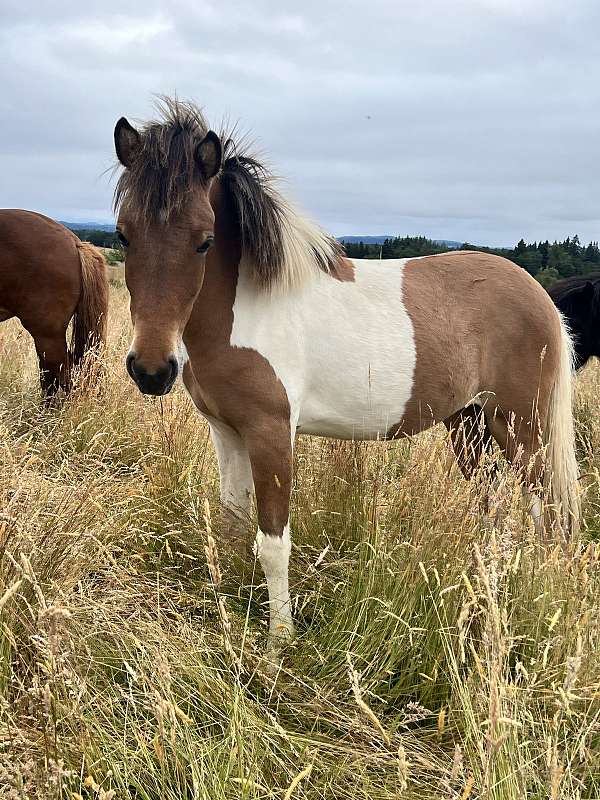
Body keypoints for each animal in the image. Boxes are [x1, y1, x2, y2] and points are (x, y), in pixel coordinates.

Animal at [113, 100, 580, 660]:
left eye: (204, 241)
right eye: (123, 234)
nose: (152, 369)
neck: (248, 307)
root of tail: (541, 297)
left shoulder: (272, 432)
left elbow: (272, 542)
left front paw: (279, 642)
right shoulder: (227, 432)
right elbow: (233, 524)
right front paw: (227, 604)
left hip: (523, 429)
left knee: (547, 516)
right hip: (470, 426)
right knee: (492, 505)